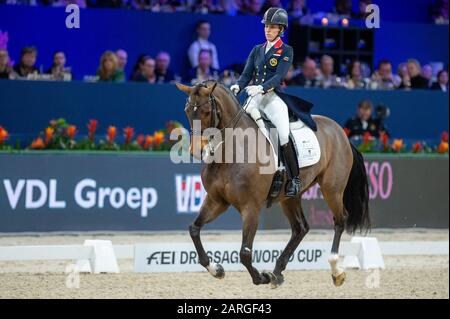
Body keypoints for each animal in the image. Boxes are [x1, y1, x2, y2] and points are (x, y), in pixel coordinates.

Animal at [175, 79, 370, 288]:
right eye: (187, 110)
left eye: (205, 112)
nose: (196, 150)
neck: (232, 151)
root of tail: (340, 132)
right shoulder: (217, 201)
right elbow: (194, 229)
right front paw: (216, 269)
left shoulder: (251, 207)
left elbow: (244, 253)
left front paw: (261, 277)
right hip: (290, 197)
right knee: (300, 228)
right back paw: (277, 272)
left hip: (332, 189)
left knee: (340, 220)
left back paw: (336, 271)